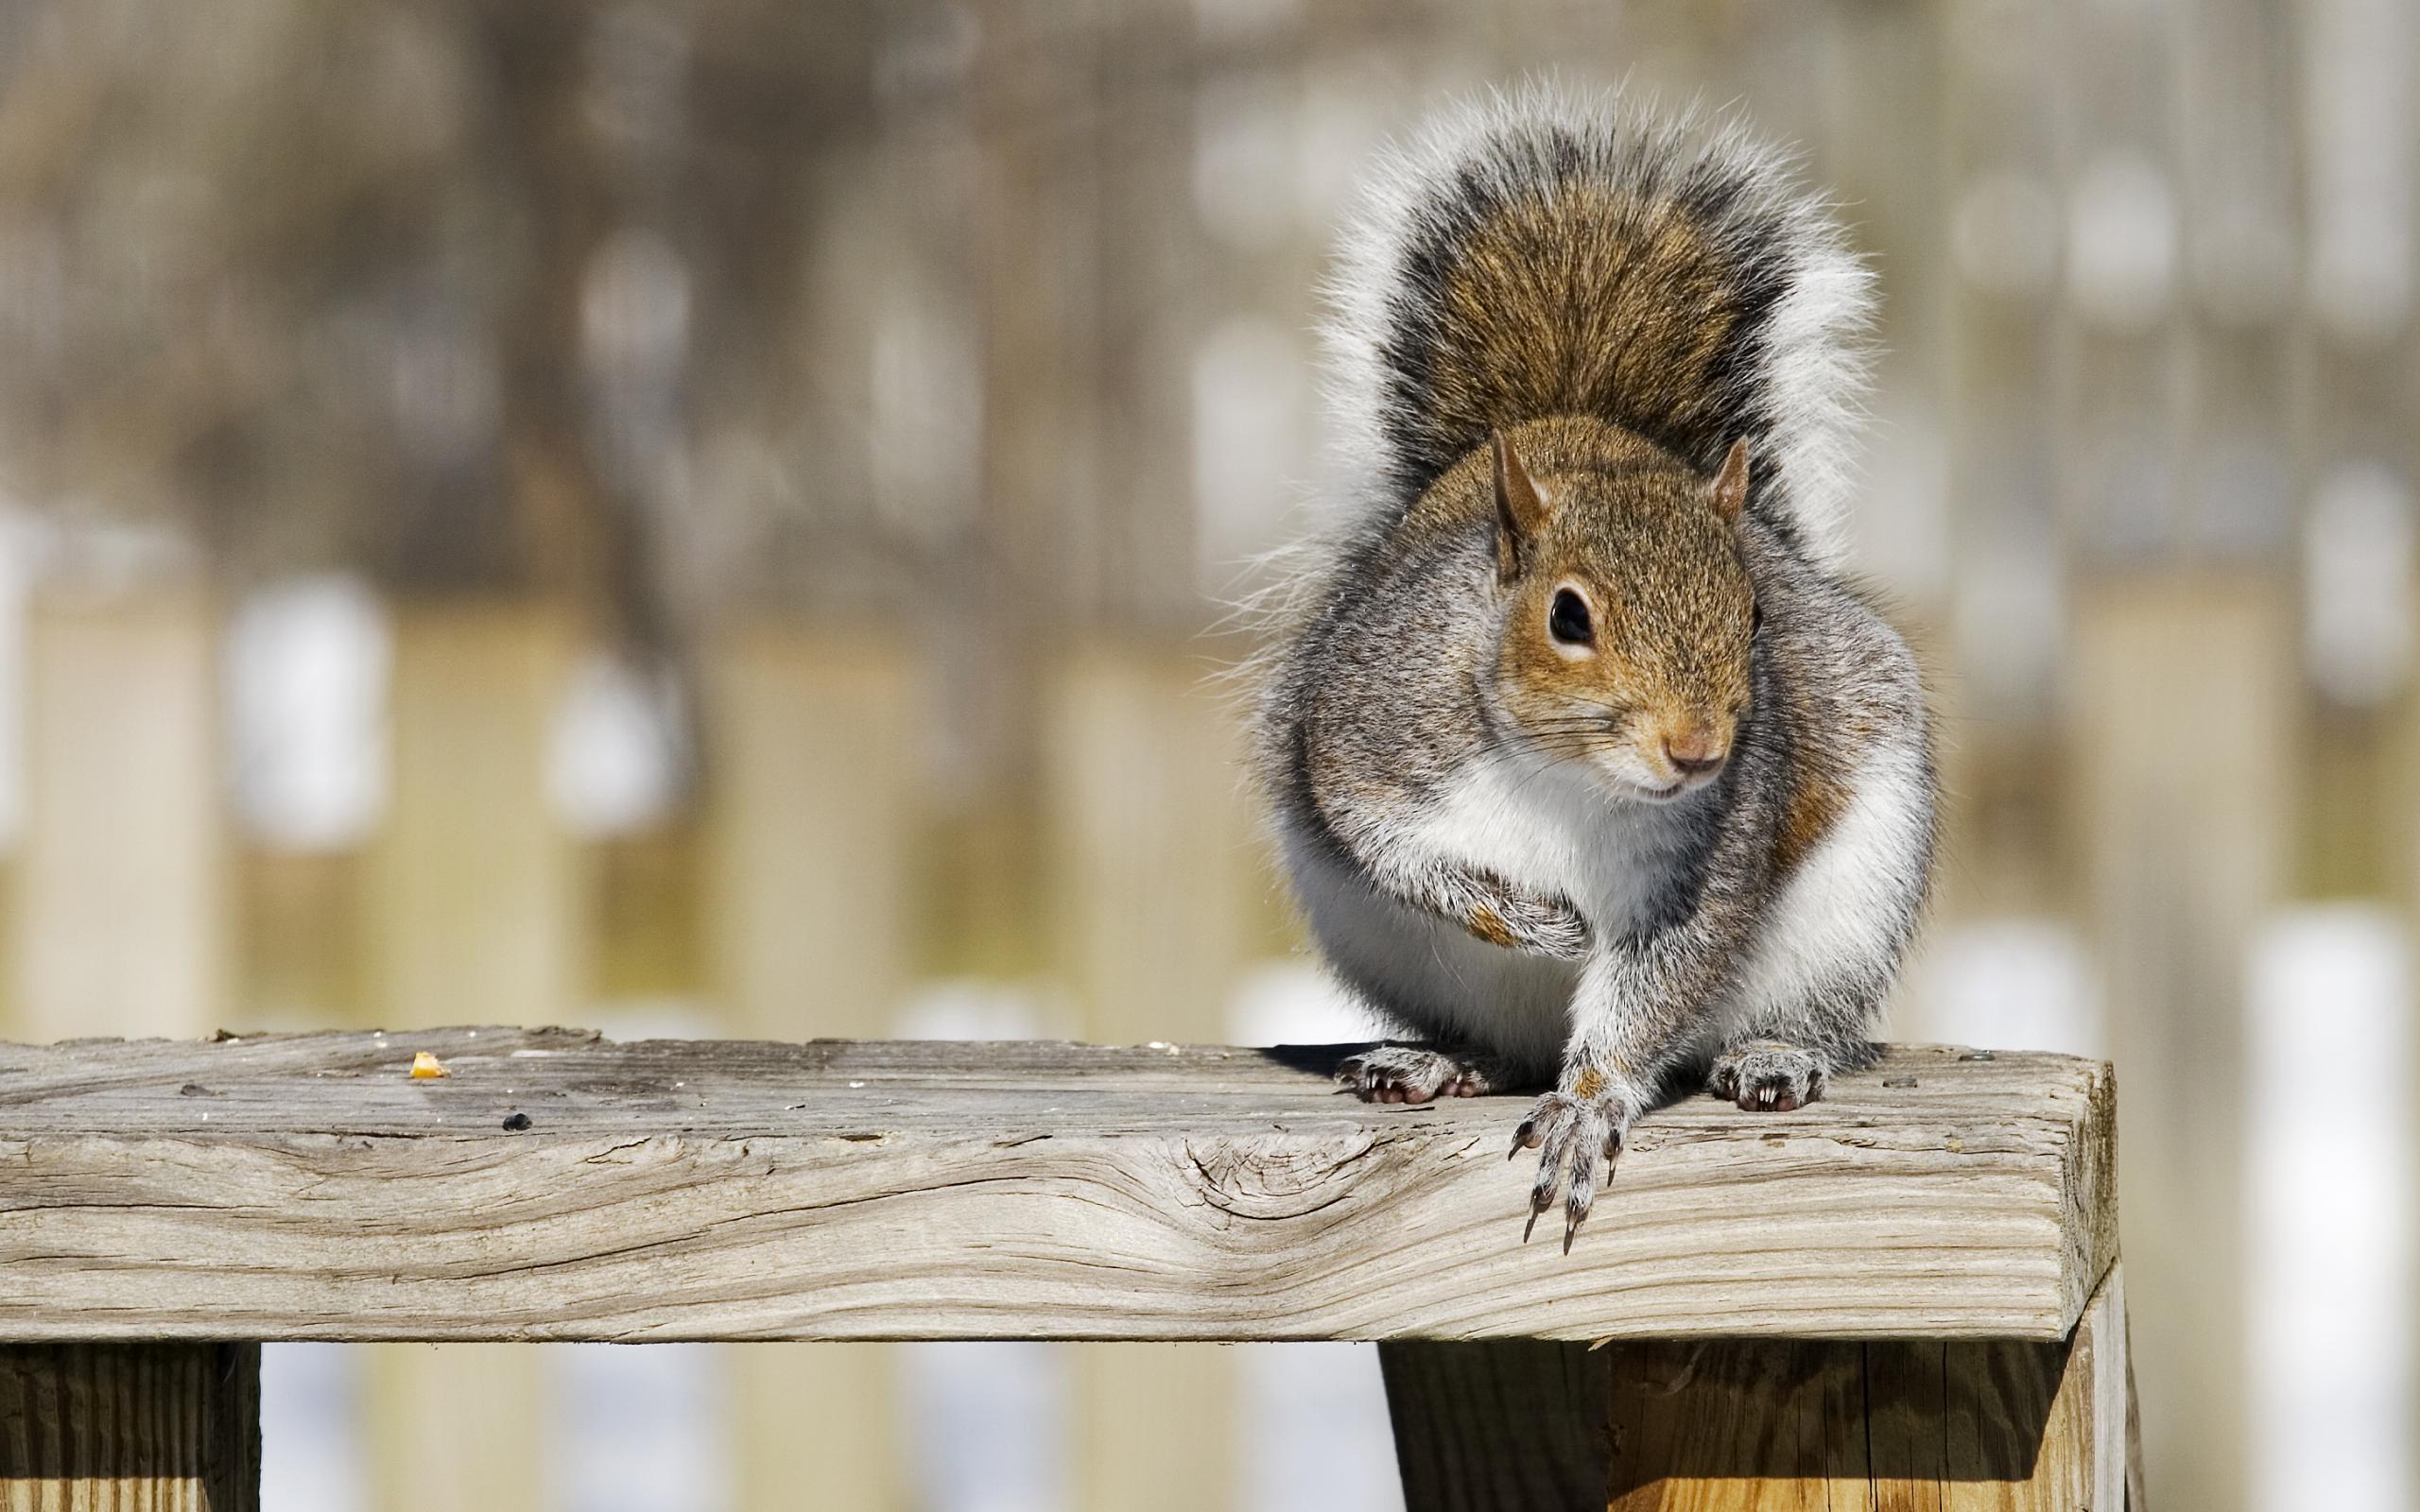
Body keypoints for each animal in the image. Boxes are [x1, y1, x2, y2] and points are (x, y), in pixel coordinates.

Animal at [1258, 88, 1936, 1258]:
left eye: (1755, 612)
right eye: (1566, 615)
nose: (1698, 749)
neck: (1564, 775)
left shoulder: (1706, 856)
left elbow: (1655, 983)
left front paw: (1586, 1107)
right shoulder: (1364, 728)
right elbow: (1385, 842)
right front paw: (1531, 919)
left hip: (1854, 901)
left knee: (1808, 1015)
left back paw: (1776, 1054)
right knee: (1492, 1041)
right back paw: (1437, 1059)